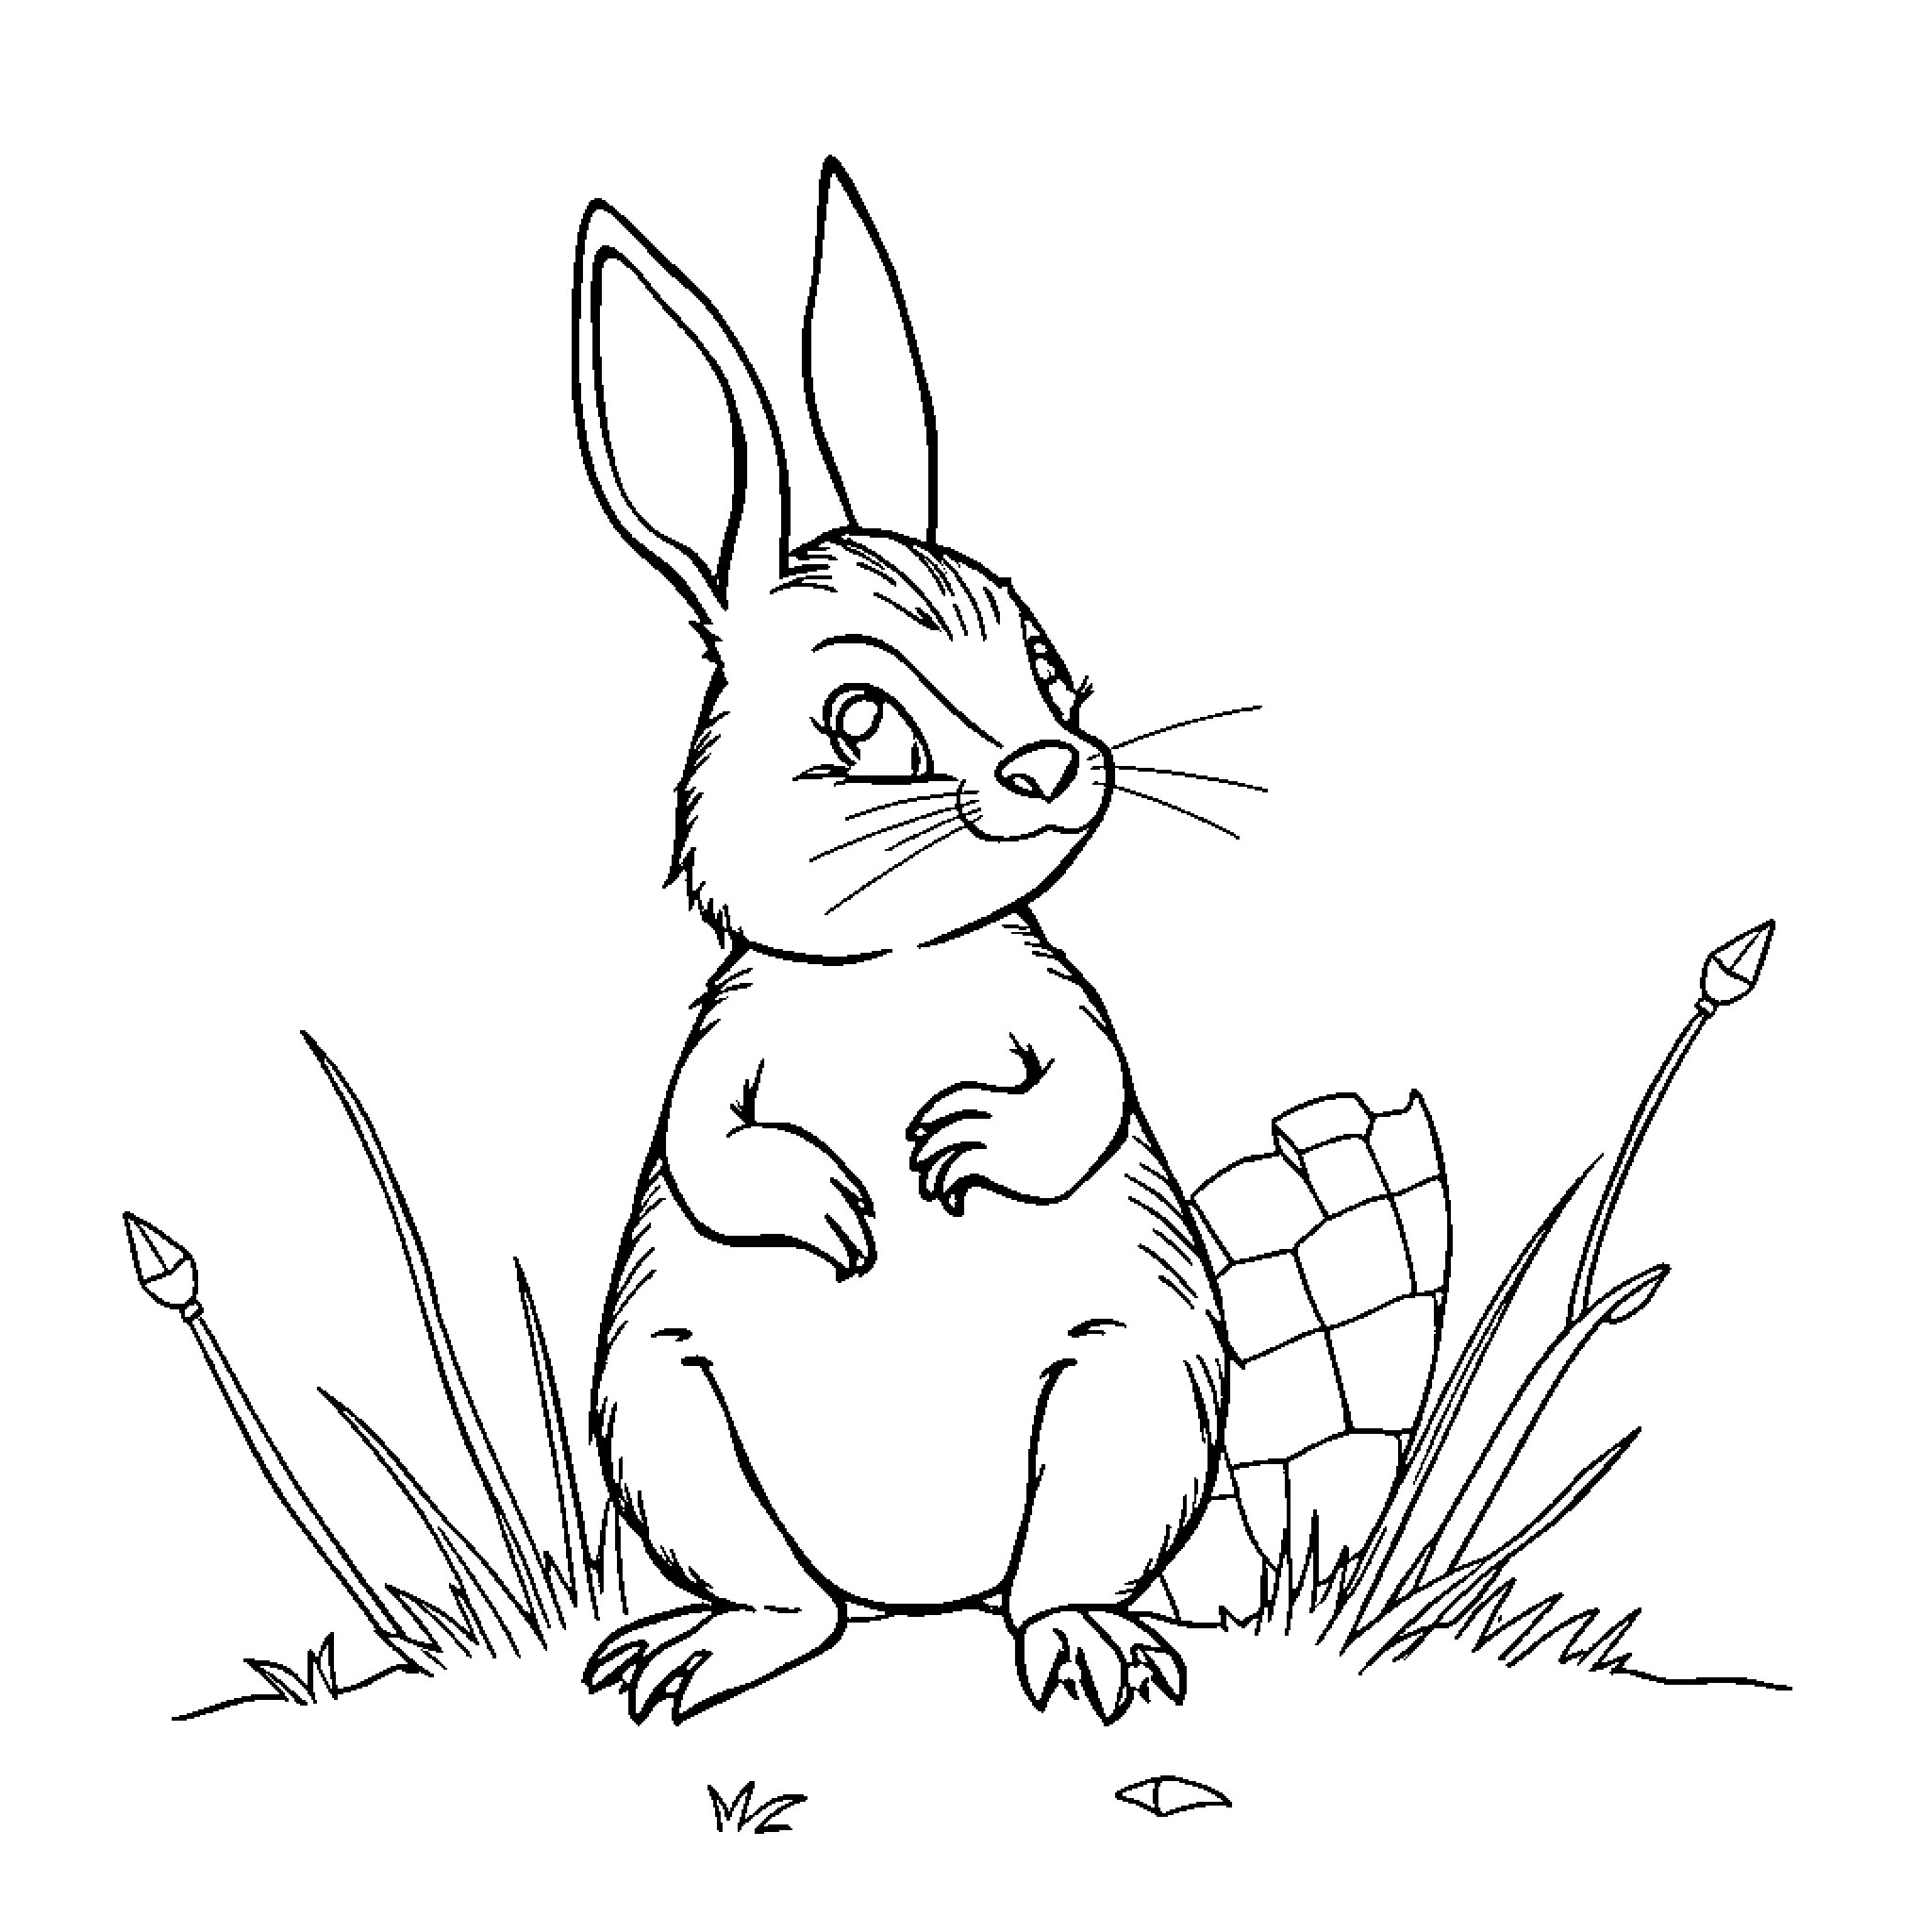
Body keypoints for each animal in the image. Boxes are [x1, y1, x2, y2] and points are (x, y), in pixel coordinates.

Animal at [577, 159, 1229, 1726]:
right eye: (861, 722)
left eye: (1049, 669)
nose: (1055, 765)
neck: (891, 975)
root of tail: (923, 1592)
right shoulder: (722, 1048)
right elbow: (710, 1145)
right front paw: (835, 1208)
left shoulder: (1059, 1004)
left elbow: (1085, 1094)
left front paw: (961, 1152)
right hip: (675, 1431)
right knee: (792, 1605)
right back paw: (700, 1656)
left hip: (1130, 1410)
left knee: (1052, 1582)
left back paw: (1087, 1648)